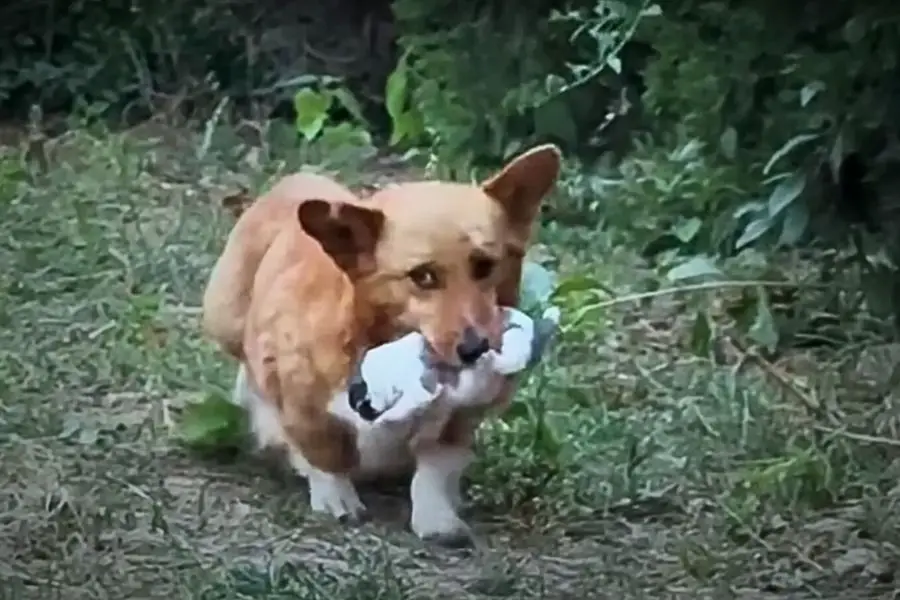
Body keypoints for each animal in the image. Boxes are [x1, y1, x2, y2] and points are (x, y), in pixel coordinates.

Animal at [202, 144, 564, 544]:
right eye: (423, 276)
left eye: (485, 266)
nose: (476, 349)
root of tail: (291, 182)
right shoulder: (301, 401)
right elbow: (324, 452)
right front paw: (336, 498)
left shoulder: (460, 420)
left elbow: (435, 467)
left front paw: (438, 518)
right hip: (224, 318)